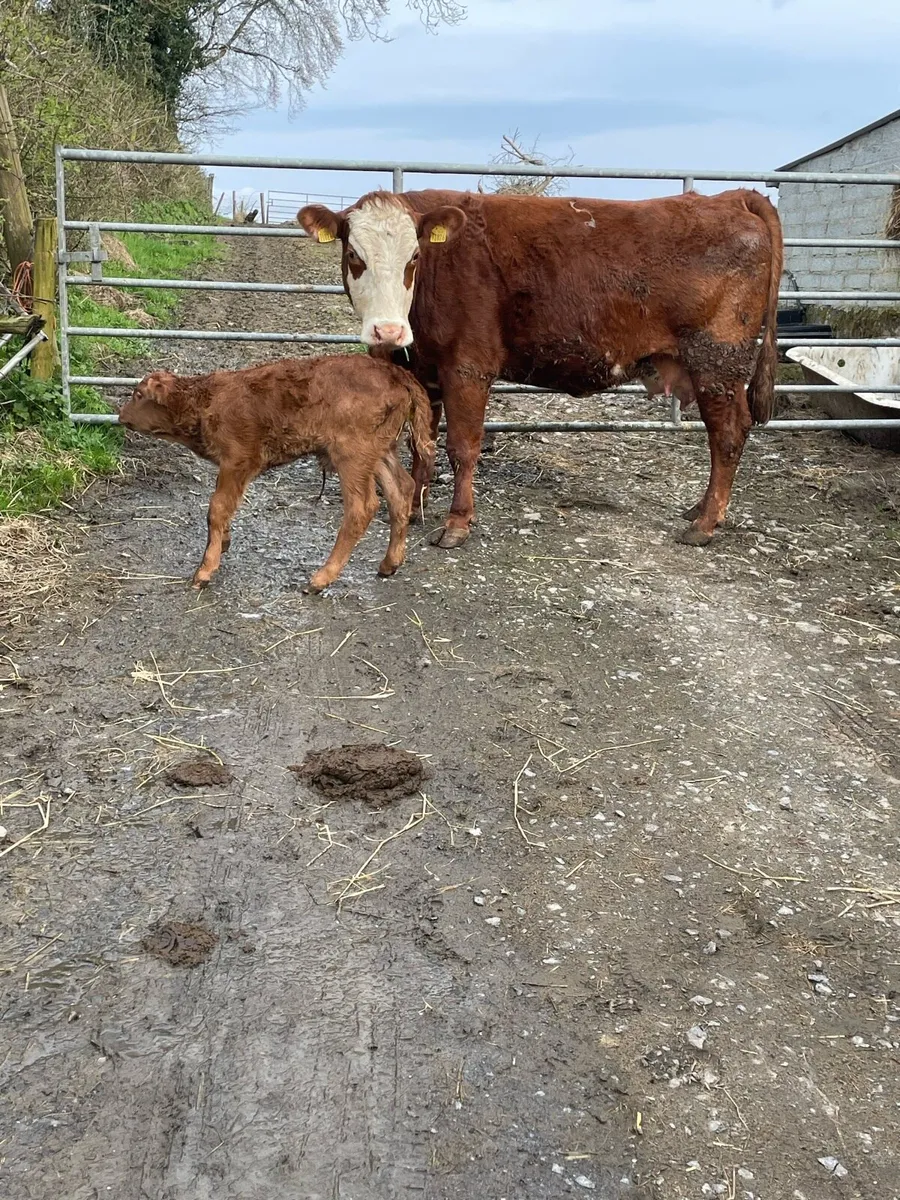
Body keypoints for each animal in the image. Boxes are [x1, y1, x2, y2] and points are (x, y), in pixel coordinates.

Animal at [117, 356, 435, 592]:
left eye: (138, 394)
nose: (120, 416)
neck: (206, 400)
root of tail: (396, 373)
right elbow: (223, 508)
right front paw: (224, 543)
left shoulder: (238, 461)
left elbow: (217, 508)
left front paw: (204, 571)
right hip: (379, 453)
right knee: (401, 490)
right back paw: (389, 565)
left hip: (352, 457)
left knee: (363, 507)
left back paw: (319, 580)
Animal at [299, 187, 783, 549]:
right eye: (354, 255)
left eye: (414, 258)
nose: (388, 330)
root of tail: (729, 197)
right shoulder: (423, 371)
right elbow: (423, 444)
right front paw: (414, 504)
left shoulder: (468, 368)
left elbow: (462, 447)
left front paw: (457, 523)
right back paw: (699, 510)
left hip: (718, 362)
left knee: (728, 435)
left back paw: (705, 523)